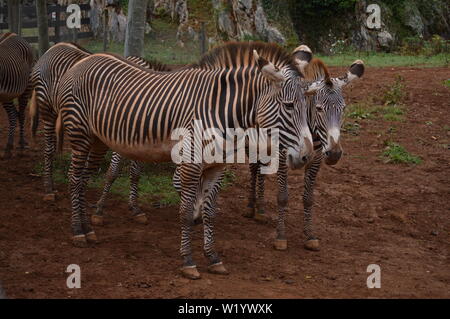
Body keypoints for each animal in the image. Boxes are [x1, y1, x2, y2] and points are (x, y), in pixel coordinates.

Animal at [0, 31, 33, 159]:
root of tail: (13, 34)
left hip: (26, 88)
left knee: (21, 115)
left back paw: (21, 147)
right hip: (6, 95)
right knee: (13, 115)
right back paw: (10, 147)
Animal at [54, 42, 324, 280]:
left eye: (308, 108)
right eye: (288, 106)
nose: (307, 156)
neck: (222, 111)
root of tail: (84, 60)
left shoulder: (216, 166)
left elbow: (209, 211)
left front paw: (213, 258)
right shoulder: (190, 163)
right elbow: (185, 211)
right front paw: (188, 262)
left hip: (97, 141)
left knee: (84, 180)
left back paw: (88, 229)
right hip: (80, 135)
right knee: (75, 180)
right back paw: (78, 232)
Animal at [244, 57, 364, 252]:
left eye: (343, 108)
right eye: (319, 108)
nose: (335, 154)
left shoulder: (317, 159)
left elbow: (308, 199)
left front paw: (310, 235)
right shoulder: (284, 156)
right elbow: (282, 196)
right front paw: (281, 236)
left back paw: (260, 209)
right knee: (254, 167)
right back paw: (250, 207)